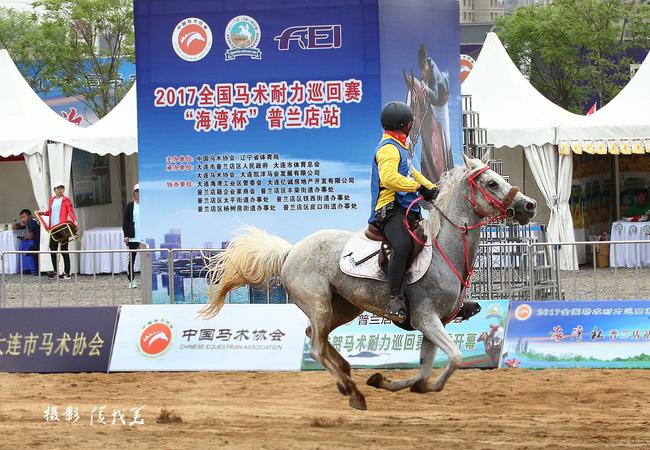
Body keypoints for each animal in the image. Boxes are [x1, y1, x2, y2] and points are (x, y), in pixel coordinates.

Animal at [201, 152, 537, 410]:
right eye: (491, 183)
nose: (529, 205)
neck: (445, 251)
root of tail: (290, 251)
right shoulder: (426, 318)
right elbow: (453, 358)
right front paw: (402, 385)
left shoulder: (434, 322)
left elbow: (425, 370)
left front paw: (391, 382)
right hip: (320, 304)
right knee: (316, 348)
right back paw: (353, 392)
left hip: (343, 308)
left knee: (315, 336)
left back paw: (348, 375)